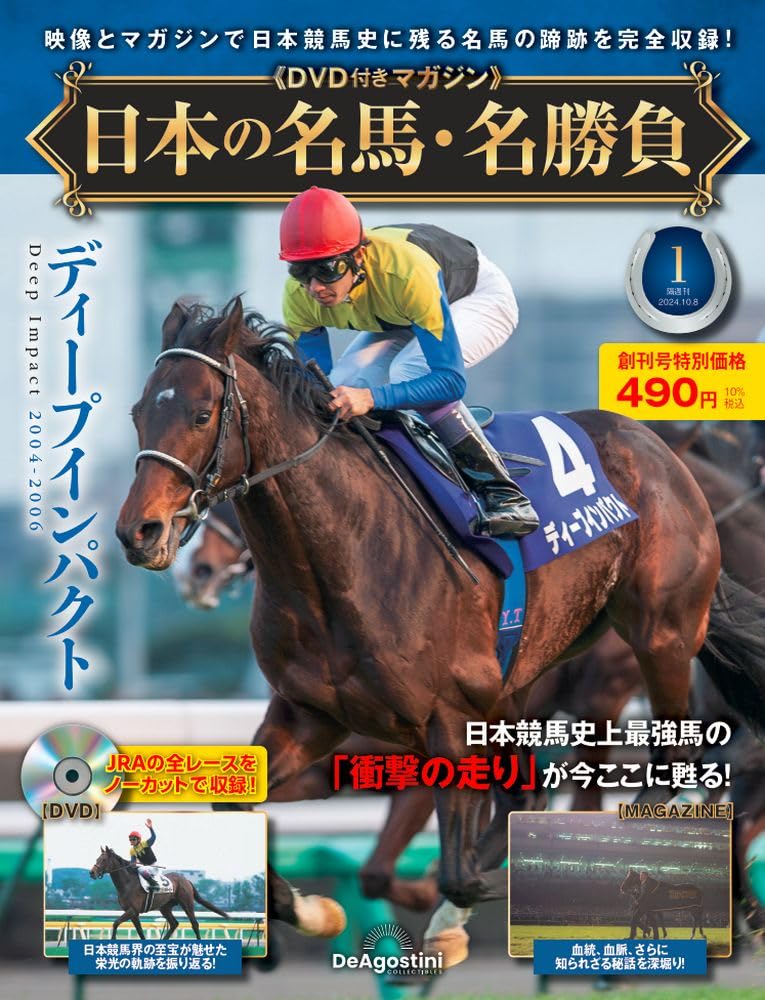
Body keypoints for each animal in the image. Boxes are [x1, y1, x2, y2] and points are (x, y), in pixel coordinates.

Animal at [89, 846, 229, 939]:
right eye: (97, 859)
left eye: (103, 860)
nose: (92, 873)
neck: (127, 884)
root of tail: (186, 879)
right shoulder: (133, 913)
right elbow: (140, 932)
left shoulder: (132, 910)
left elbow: (115, 923)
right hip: (165, 907)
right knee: (174, 923)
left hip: (187, 903)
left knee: (194, 924)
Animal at [116, 299, 765, 966]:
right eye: (139, 414)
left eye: (200, 414)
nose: (140, 533)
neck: (338, 560)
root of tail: (658, 449)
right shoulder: (311, 715)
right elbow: (238, 804)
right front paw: (316, 910)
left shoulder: (445, 719)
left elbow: (453, 865)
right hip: (514, 690)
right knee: (530, 796)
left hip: (658, 638)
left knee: (667, 762)